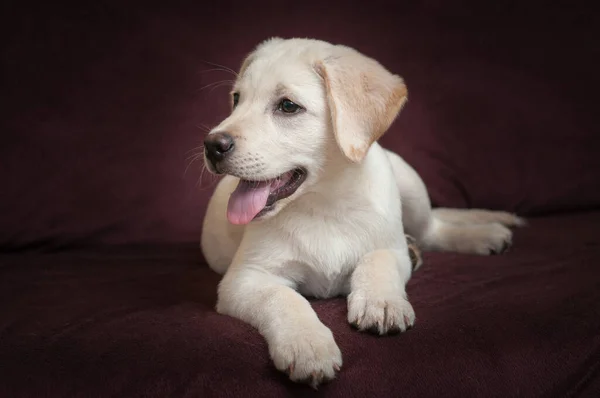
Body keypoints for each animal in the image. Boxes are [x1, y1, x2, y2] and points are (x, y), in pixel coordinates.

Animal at [199, 38, 524, 388]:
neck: (324, 204)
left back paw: (481, 235)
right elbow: (284, 298)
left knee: (433, 230)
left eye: (288, 106)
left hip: (410, 185)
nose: (211, 145)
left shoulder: (390, 248)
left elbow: (377, 260)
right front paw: (307, 344)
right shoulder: (244, 279)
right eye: (236, 99)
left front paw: (381, 302)